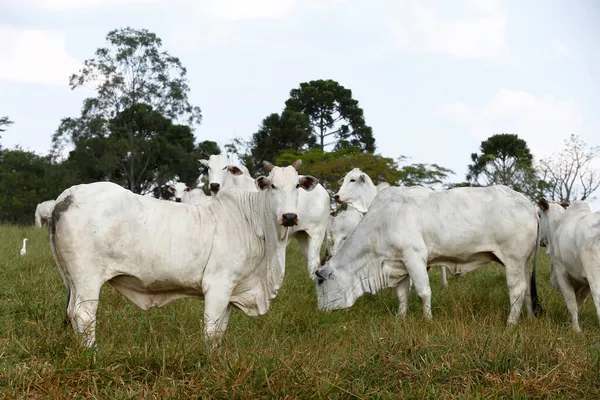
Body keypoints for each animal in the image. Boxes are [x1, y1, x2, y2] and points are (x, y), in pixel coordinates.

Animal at [49, 160, 318, 350]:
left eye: (296, 186)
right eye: (272, 185)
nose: (289, 216)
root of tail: (69, 194)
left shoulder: (232, 291)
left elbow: (220, 331)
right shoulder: (218, 285)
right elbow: (211, 330)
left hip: (75, 282)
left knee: (72, 313)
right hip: (87, 278)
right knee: (84, 315)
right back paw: (92, 353)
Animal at [314, 184, 540, 324]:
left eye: (320, 281)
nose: (320, 312)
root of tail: (530, 204)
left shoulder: (413, 257)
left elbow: (423, 292)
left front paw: (428, 320)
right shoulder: (399, 263)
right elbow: (402, 295)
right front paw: (401, 318)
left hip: (513, 260)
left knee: (517, 289)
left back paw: (510, 323)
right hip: (523, 263)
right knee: (527, 290)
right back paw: (529, 318)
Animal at [536, 198, 600, 332]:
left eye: (539, 215)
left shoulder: (561, 272)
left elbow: (571, 303)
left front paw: (575, 329)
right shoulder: (585, 283)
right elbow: (578, 303)